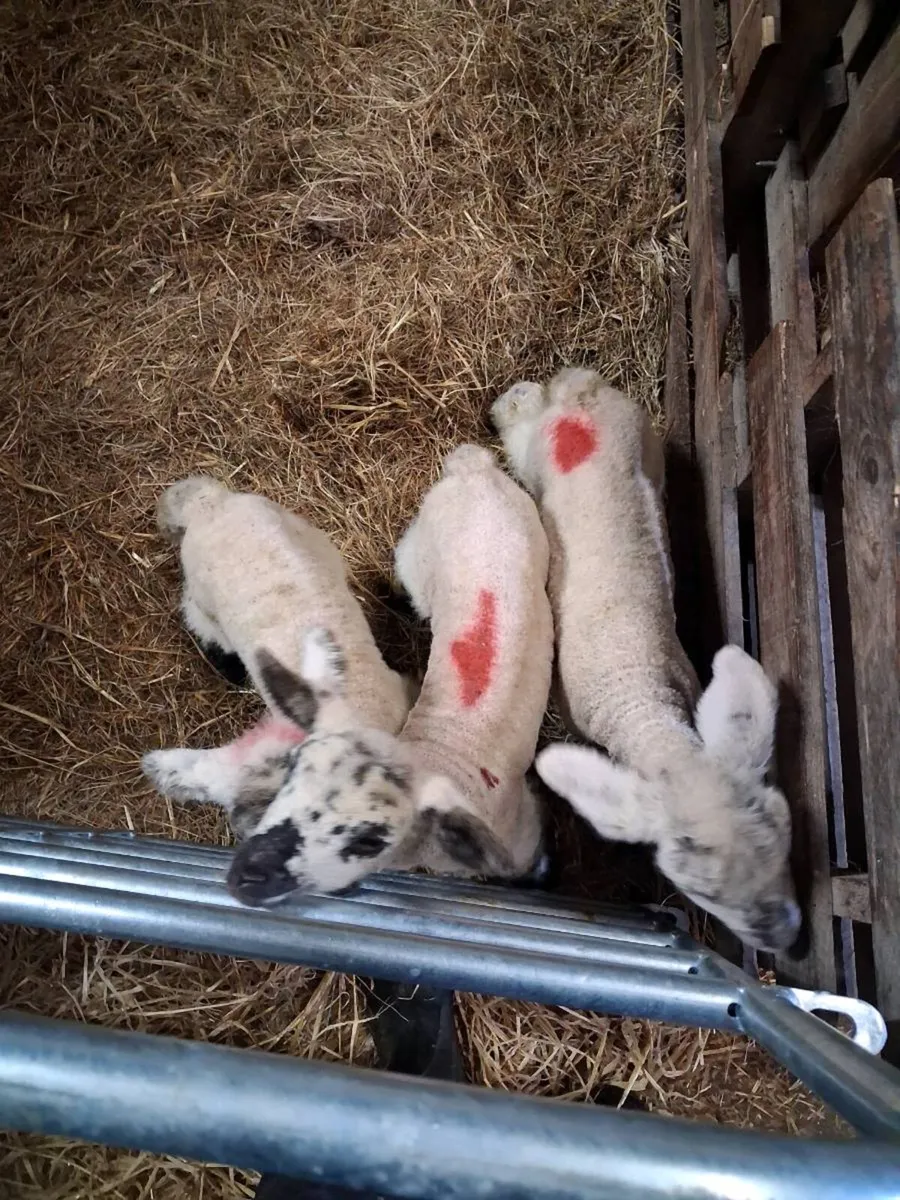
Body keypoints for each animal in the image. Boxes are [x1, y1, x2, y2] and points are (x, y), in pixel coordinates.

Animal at [223, 443, 555, 906]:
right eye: (292, 769)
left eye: (369, 840)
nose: (245, 876)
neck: (442, 755)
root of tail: (473, 470)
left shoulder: (520, 828)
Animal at [490, 367, 801, 952]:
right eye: (701, 891)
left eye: (783, 832)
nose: (785, 938)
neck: (640, 700)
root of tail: (581, 397)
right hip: (532, 454)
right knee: (521, 416)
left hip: (645, 441)